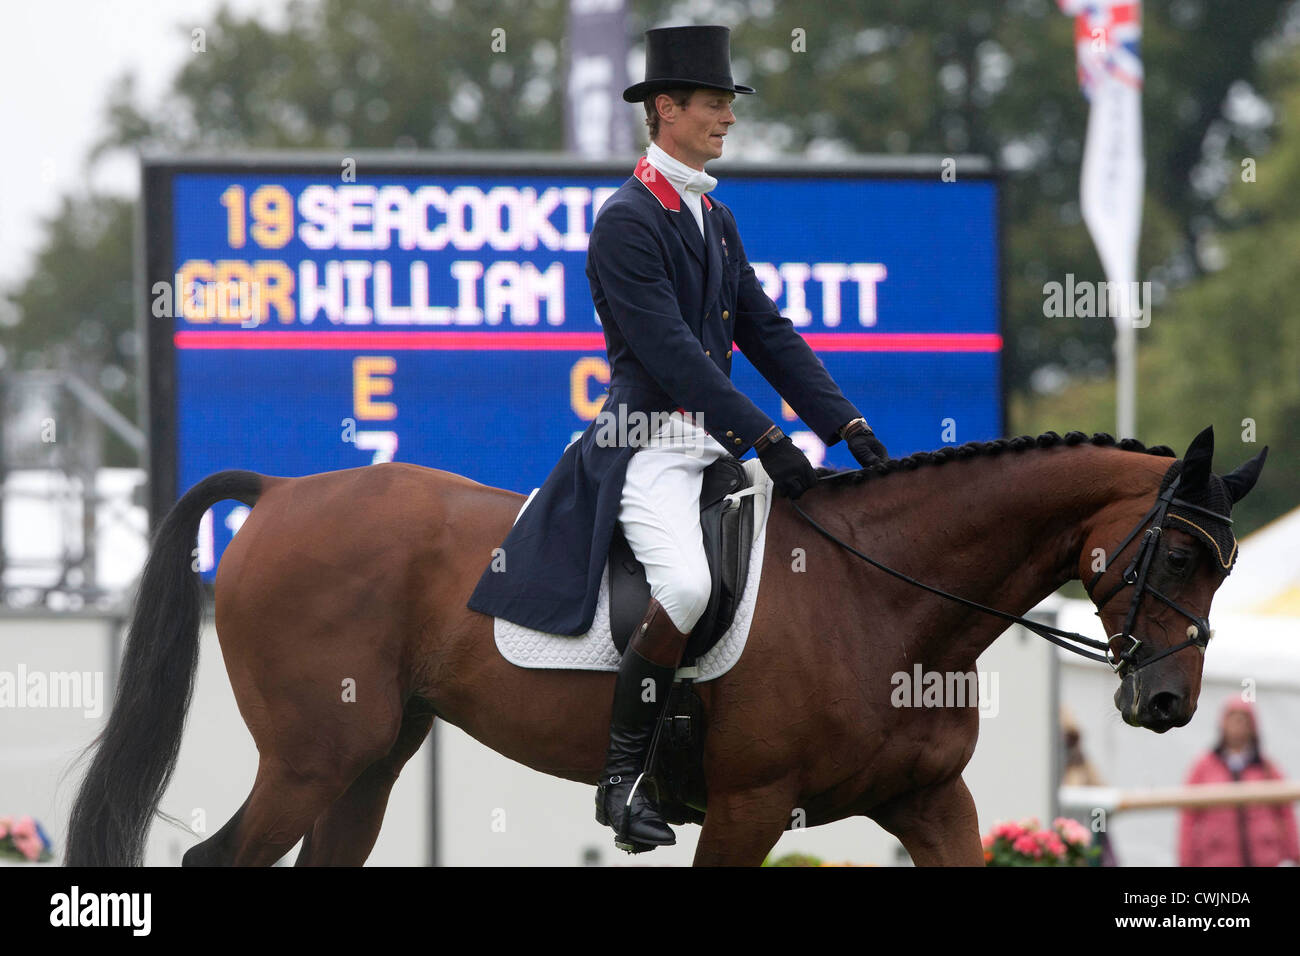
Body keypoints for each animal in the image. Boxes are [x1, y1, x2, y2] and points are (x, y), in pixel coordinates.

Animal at [65, 429, 1263, 868]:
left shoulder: (929, 801)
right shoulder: (746, 805)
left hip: (369, 760)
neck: (879, 595)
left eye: (1227, 566)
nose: (1164, 704)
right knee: (215, 862)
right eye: (1180, 555)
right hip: (313, 757)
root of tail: (279, 492)